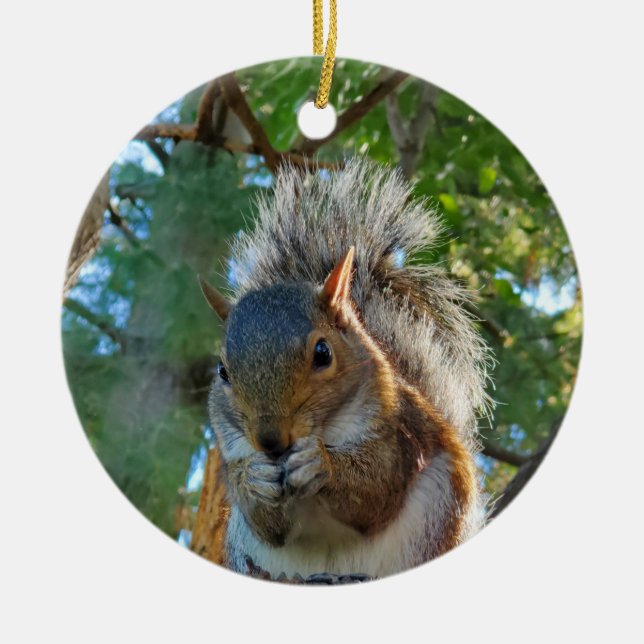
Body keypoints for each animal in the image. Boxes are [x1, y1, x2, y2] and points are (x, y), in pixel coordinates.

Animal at [194, 159, 493, 580]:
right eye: (222, 371)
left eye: (323, 353)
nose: (271, 442)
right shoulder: (234, 447)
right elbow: (269, 526)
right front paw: (254, 480)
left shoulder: (396, 433)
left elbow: (375, 490)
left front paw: (322, 465)